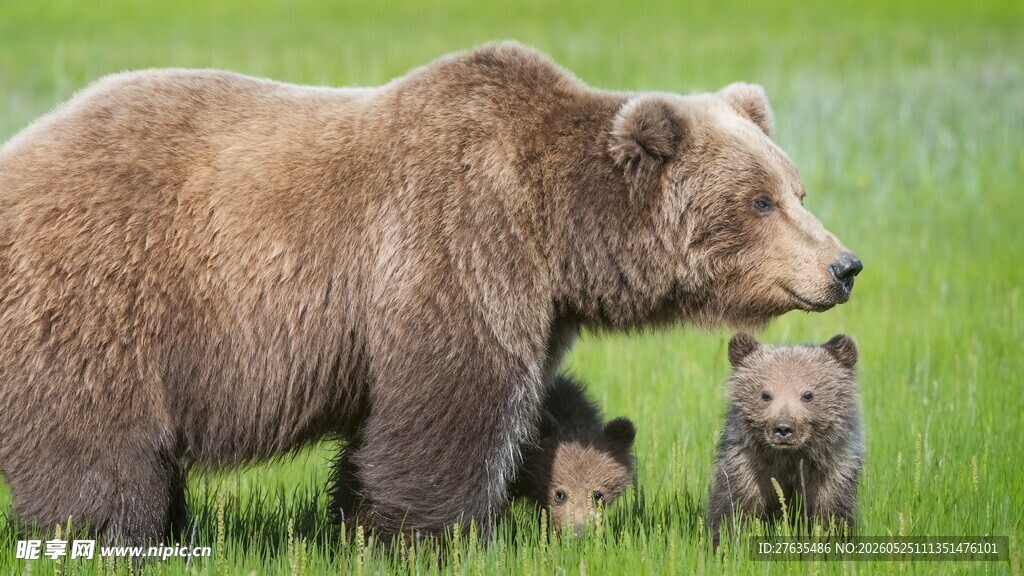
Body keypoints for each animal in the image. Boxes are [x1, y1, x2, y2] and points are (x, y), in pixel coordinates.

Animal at [707, 333, 864, 547]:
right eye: (765, 394)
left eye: (808, 394)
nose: (783, 428)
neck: (788, 458)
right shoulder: (747, 466)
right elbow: (735, 509)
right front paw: (727, 543)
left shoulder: (832, 471)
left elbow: (830, 514)